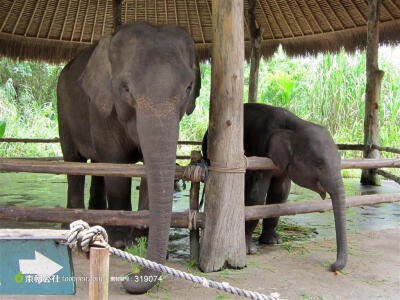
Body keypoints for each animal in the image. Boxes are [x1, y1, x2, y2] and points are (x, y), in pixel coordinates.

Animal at [57, 21, 202, 292]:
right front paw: (120, 243)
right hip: (63, 111)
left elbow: (146, 169)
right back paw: (70, 226)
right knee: (75, 164)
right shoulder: (100, 108)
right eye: (125, 88)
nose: (129, 277)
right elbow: (116, 165)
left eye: (189, 88)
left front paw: (140, 242)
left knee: (97, 168)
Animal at [203, 103, 346, 272]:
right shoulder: (261, 150)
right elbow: (257, 195)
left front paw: (273, 241)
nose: (332, 266)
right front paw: (248, 250)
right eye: (318, 162)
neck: (295, 125)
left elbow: (280, 194)